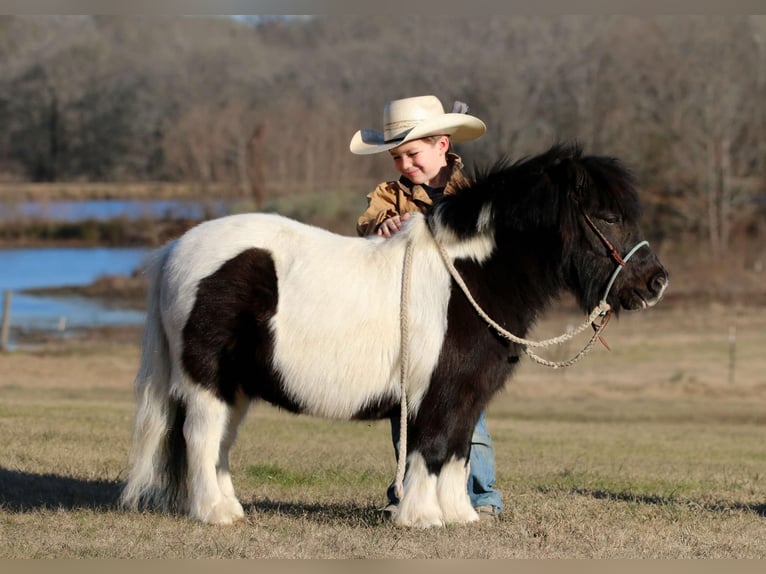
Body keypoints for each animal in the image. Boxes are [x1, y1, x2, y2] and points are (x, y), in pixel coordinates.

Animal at [121, 143, 672, 528]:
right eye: (607, 217)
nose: (655, 283)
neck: (467, 276)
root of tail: (177, 248)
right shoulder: (438, 393)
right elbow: (430, 449)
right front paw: (422, 518)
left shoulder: (467, 395)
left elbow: (457, 452)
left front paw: (460, 517)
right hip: (207, 384)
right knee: (200, 437)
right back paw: (213, 514)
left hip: (235, 388)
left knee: (220, 445)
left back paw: (232, 508)